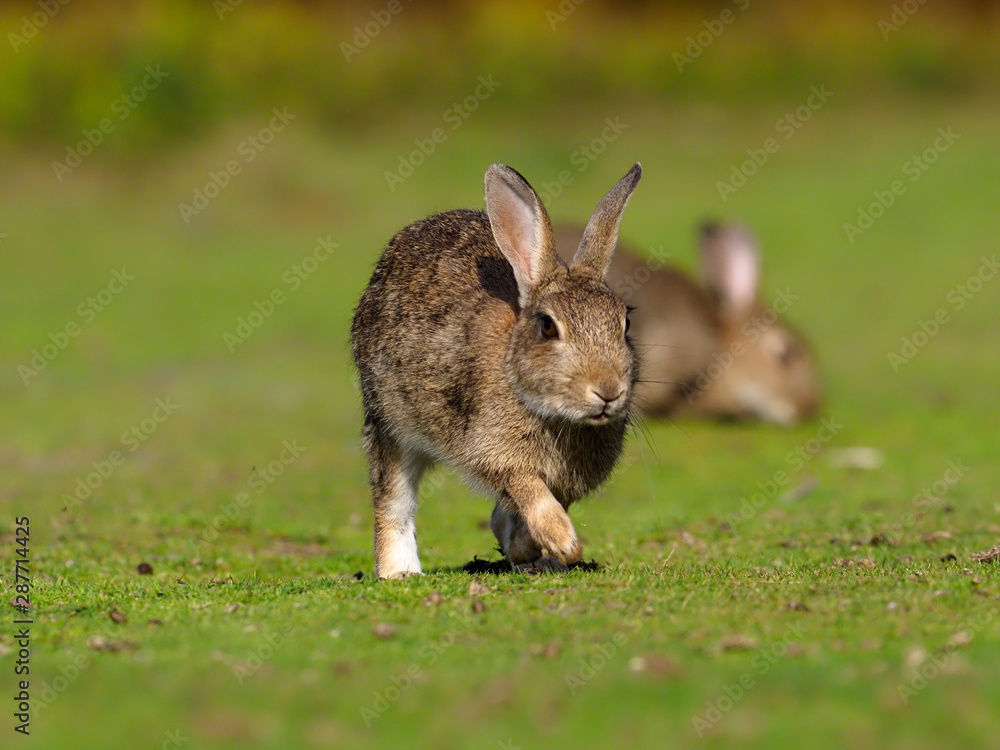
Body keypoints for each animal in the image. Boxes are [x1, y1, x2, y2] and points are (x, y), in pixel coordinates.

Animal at [352, 163, 642, 579]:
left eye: (625, 323)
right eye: (547, 326)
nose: (608, 391)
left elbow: (522, 509)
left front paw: (529, 548)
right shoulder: (492, 449)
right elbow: (528, 490)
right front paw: (563, 542)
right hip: (391, 422)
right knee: (393, 501)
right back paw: (400, 571)